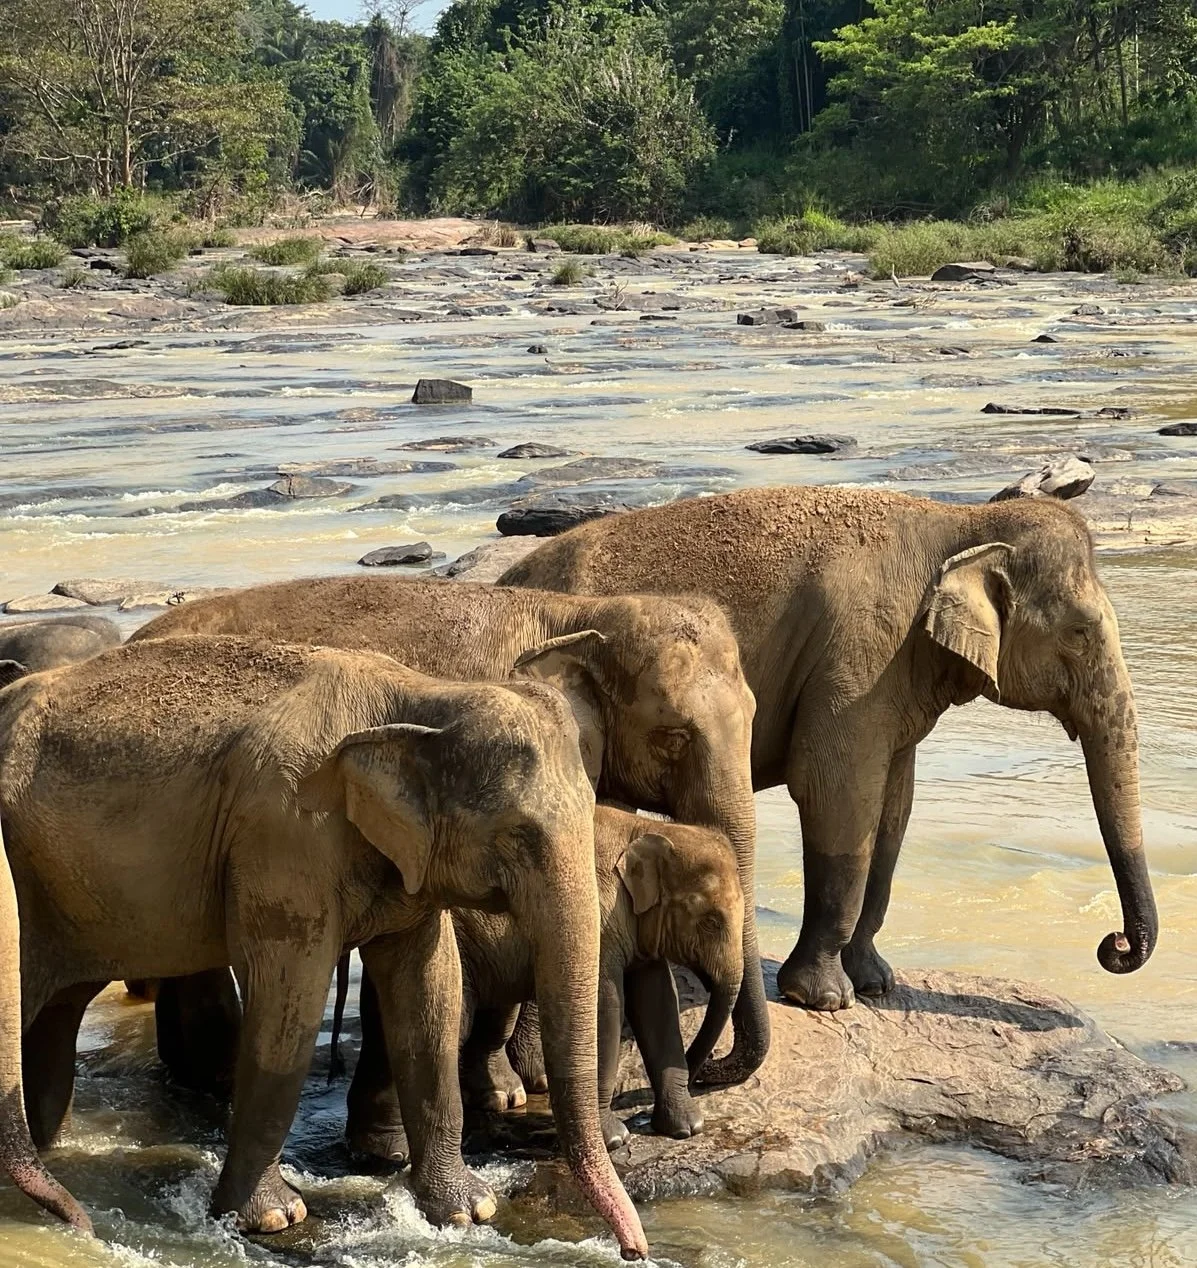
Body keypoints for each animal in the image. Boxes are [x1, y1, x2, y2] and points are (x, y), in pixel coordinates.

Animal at [0, 636, 647, 1258]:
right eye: (518, 835)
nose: (634, 1249)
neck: (418, 694)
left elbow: (430, 993)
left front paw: (468, 1210)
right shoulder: (286, 838)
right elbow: (289, 1005)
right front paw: (270, 1219)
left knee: (58, 1012)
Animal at [133, 573, 762, 1133]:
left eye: (756, 714)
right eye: (675, 735)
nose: (710, 1070)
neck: (575, 612)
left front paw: (509, 1093)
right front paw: (532, 1081)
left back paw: (195, 1072)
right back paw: (214, 1078)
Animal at [499, 485, 1157, 1011]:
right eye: (1080, 633)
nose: (1114, 945)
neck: (963, 522)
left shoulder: (895, 680)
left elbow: (892, 812)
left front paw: (875, 983)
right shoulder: (859, 656)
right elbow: (836, 796)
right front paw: (823, 999)